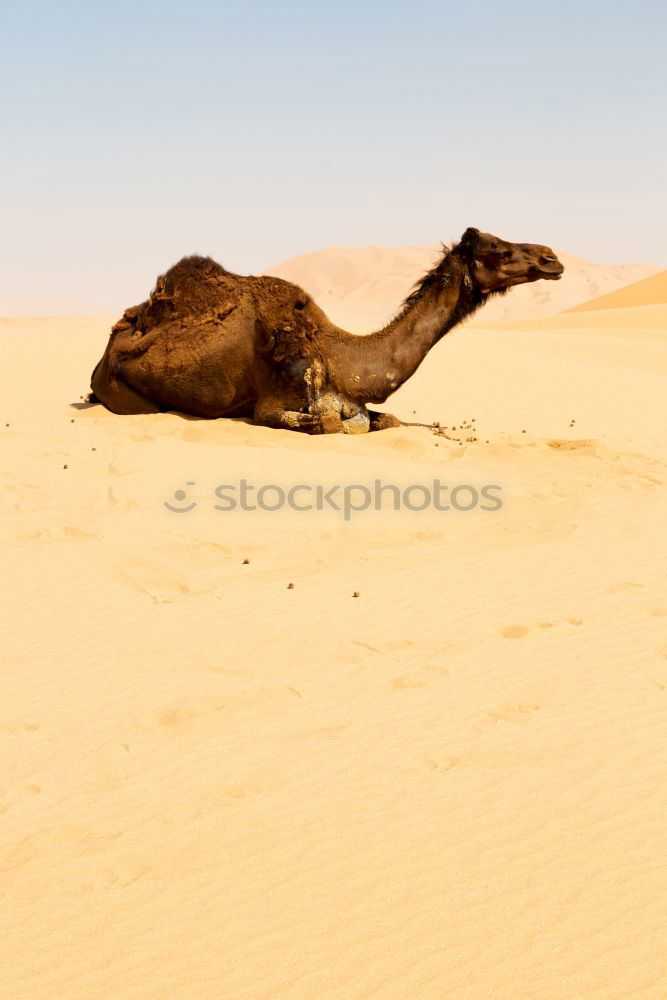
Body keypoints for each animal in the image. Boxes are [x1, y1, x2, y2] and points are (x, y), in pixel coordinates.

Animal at [88, 229, 564, 432]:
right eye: (497, 250)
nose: (551, 258)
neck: (341, 358)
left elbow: (384, 419)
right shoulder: (272, 403)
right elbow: (331, 424)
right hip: (122, 394)